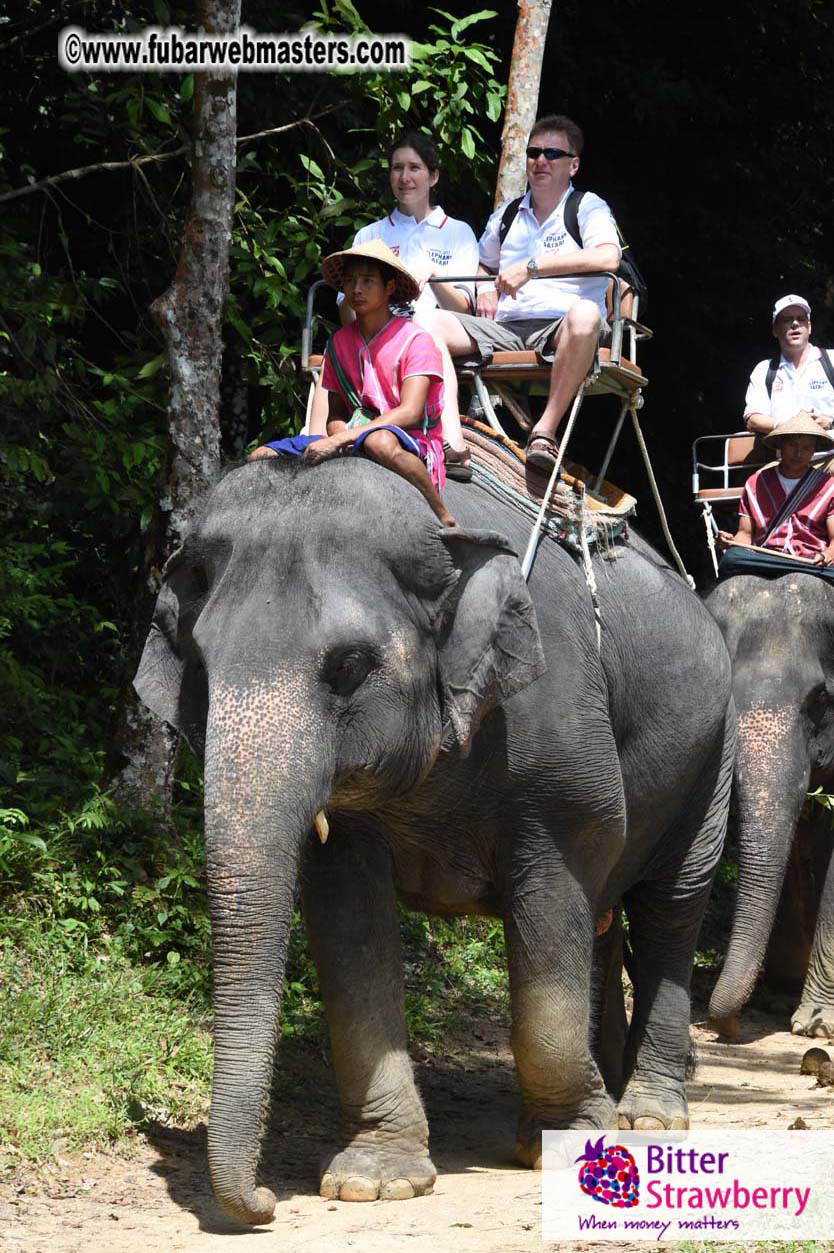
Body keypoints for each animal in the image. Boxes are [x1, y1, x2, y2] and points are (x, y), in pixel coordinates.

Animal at [134, 455, 735, 1227]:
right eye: (201, 669)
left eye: (348, 666)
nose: (265, 1201)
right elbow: (351, 926)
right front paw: (375, 1180)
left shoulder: (560, 738)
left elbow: (554, 902)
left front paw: (569, 1145)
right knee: (605, 924)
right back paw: (608, 1085)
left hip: (713, 750)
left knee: (671, 908)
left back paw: (648, 1116)